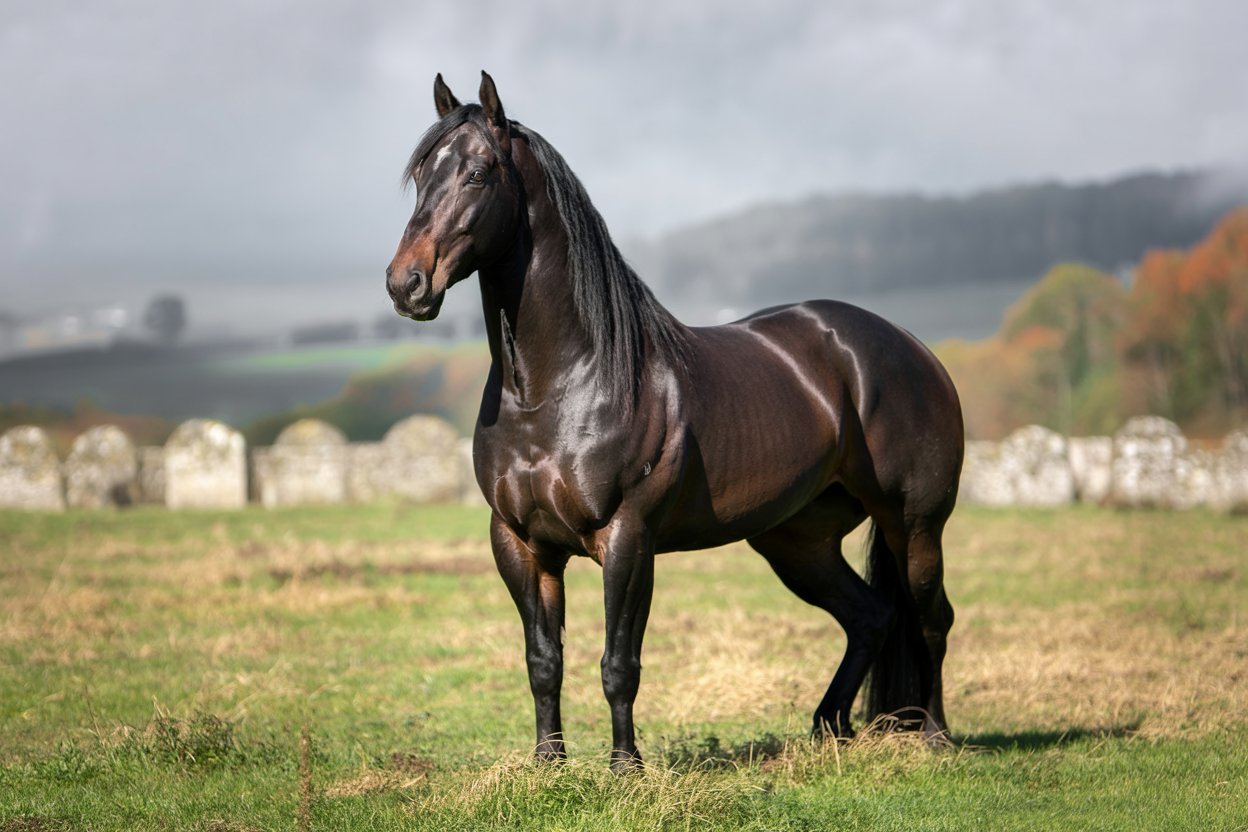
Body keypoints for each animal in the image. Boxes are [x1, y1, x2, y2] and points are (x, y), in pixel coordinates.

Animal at [386, 72, 963, 771]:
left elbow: (619, 664)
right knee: (871, 617)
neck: (557, 388)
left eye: (476, 173)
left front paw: (625, 769)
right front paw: (549, 767)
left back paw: (935, 735)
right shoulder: (521, 544)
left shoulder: (627, 540)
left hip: (916, 526)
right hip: (798, 543)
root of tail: (913, 348)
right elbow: (543, 661)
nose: (406, 284)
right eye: (422, 176)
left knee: (930, 617)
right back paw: (830, 728)